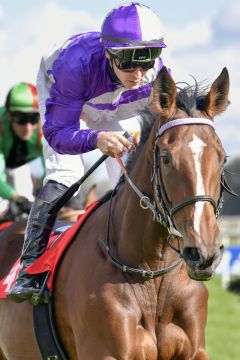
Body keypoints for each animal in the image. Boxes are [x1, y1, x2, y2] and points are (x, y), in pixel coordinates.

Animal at [0, 66, 230, 358]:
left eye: (222, 157)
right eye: (166, 158)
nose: (204, 253)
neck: (152, 272)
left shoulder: (194, 350)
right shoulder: (104, 351)